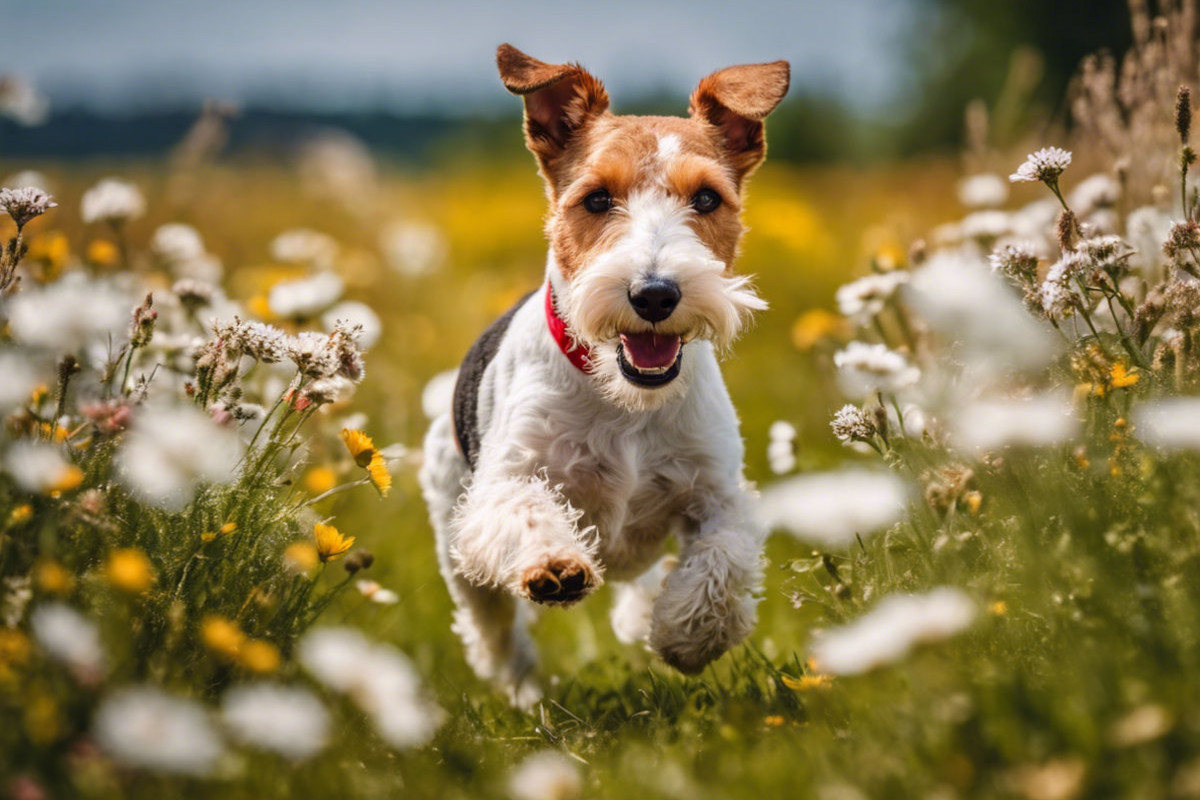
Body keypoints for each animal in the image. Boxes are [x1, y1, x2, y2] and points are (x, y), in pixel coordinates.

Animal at [420, 45, 787, 705]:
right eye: (595, 199)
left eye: (706, 199)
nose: (655, 294)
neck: (625, 400)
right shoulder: (505, 482)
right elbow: (526, 508)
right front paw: (554, 566)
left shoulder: (718, 491)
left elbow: (723, 557)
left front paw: (684, 634)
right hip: (454, 531)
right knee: (493, 631)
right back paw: (524, 692)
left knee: (645, 579)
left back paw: (641, 615)